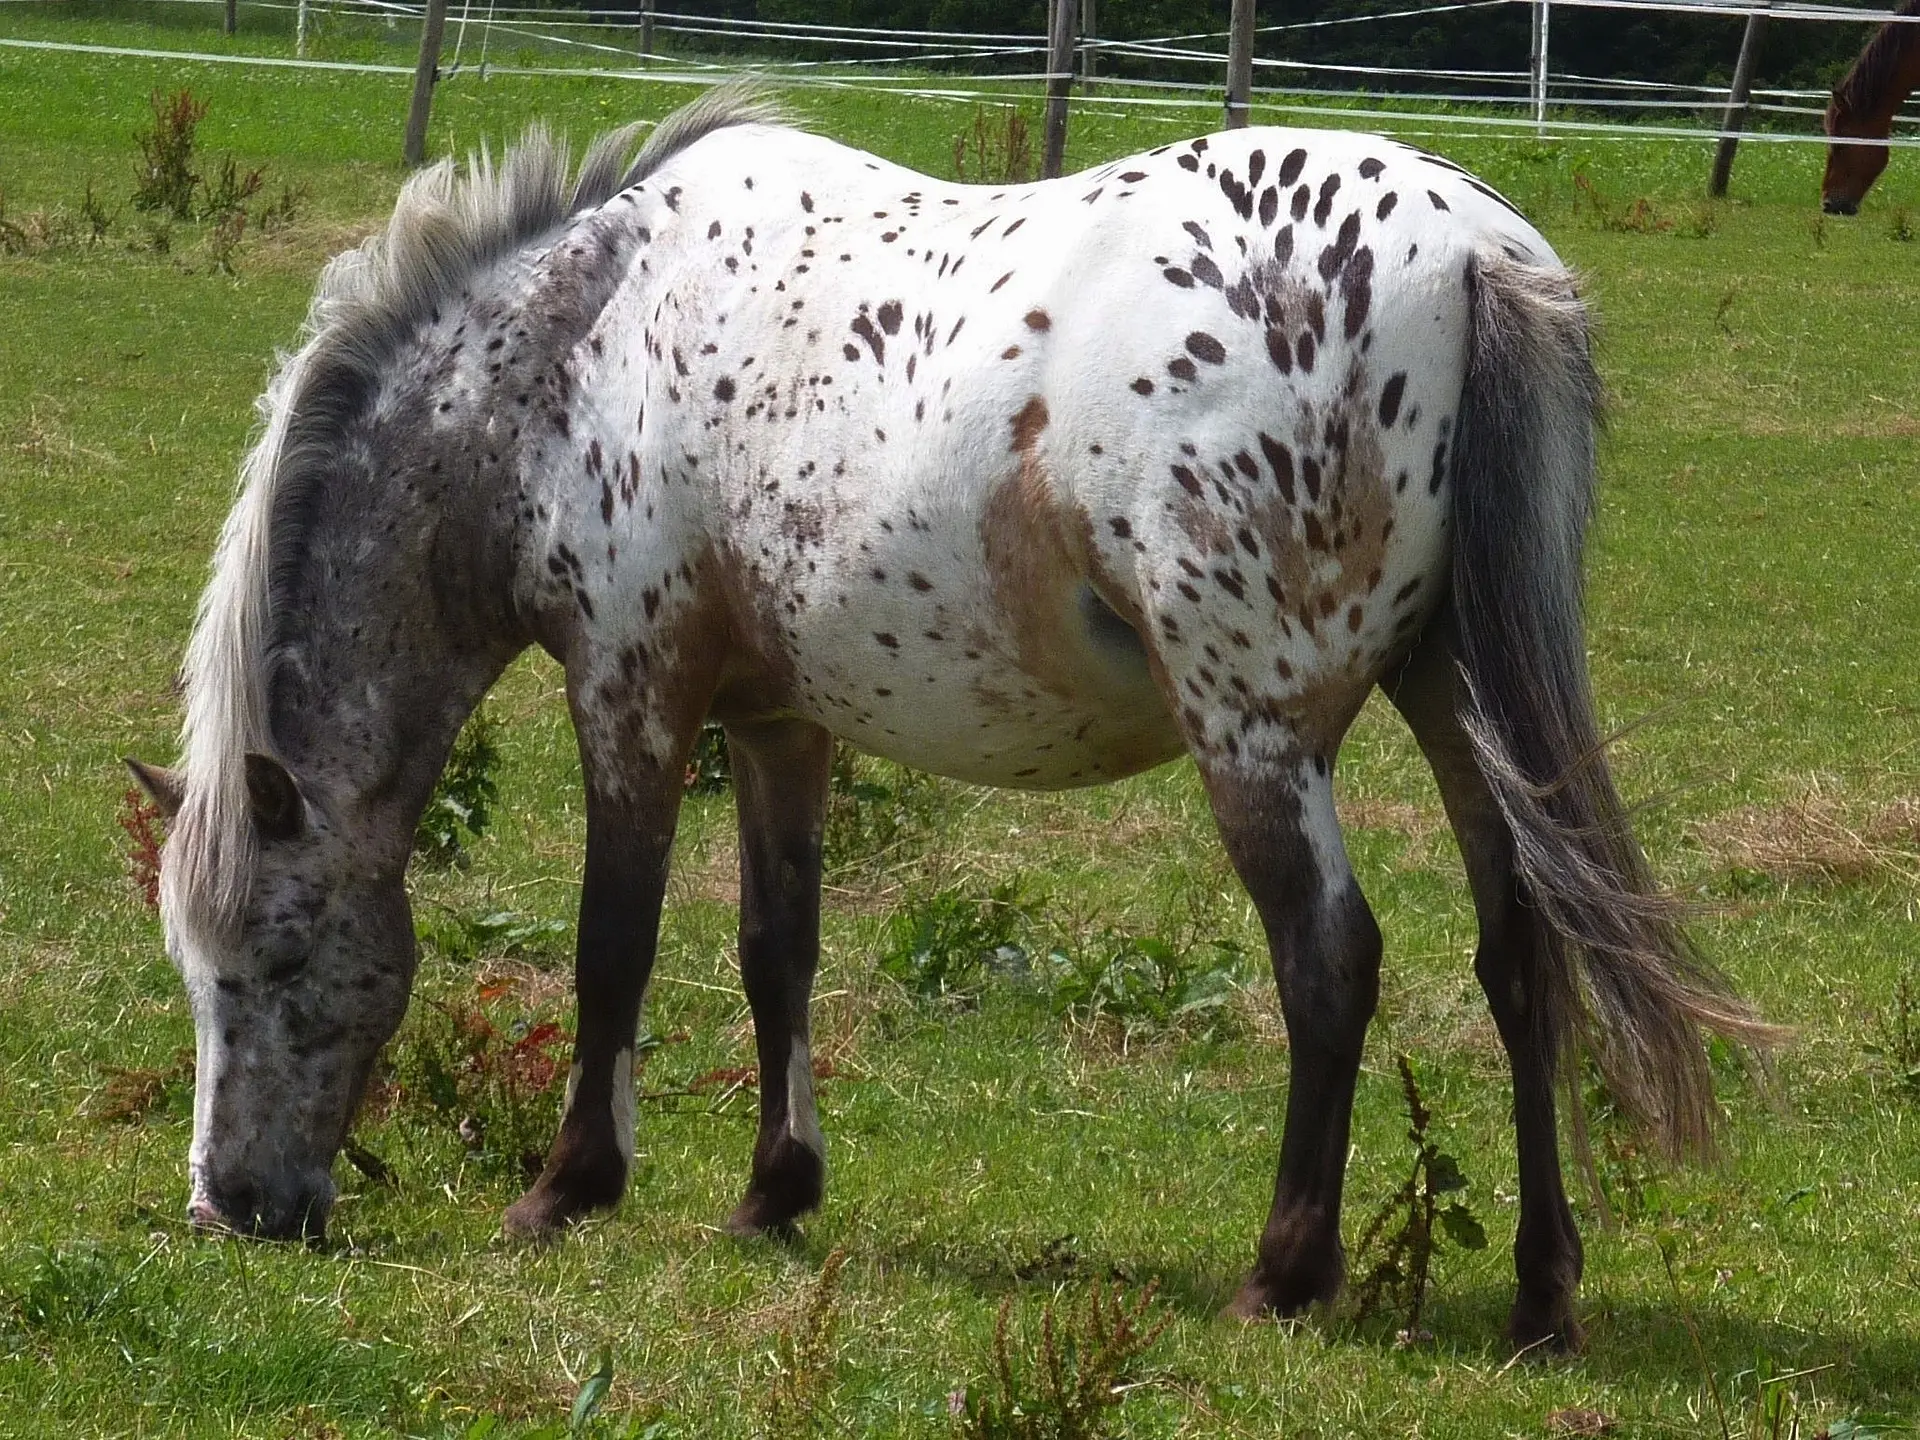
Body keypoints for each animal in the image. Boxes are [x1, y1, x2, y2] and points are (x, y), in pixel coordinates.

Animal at [127, 87, 1758, 1351]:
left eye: (270, 960)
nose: (232, 1209)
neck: (578, 351)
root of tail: (1476, 250)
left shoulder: (631, 693)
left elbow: (613, 947)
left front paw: (568, 1187)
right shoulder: (776, 722)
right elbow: (776, 950)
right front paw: (773, 1192)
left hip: (1255, 731)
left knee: (1331, 963)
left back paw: (1283, 1275)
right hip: (1459, 707)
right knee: (1523, 960)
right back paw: (1543, 1297)